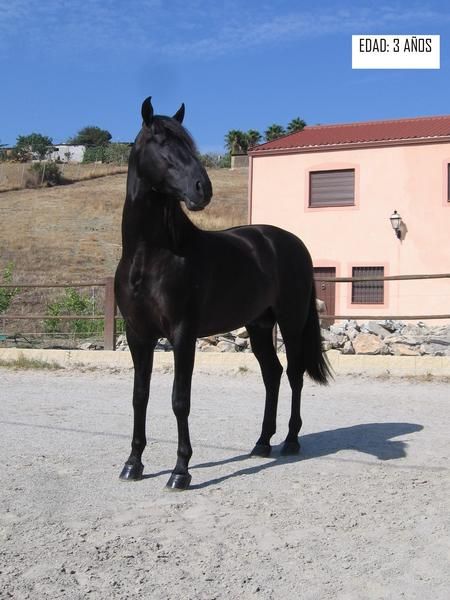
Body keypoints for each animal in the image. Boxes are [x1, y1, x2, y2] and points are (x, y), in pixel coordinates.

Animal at [114, 98, 328, 490]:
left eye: (189, 143)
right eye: (161, 142)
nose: (203, 189)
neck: (151, 256)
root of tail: (292, 243)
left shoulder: (182, 334)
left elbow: (180, 399)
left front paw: (180, 471)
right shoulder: (138, 335)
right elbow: (140, 397)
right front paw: (133, 464)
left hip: (290, 323)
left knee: (293, 374)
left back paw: (290, 441)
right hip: (259, 325)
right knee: (272, 374)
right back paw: (262, 443)